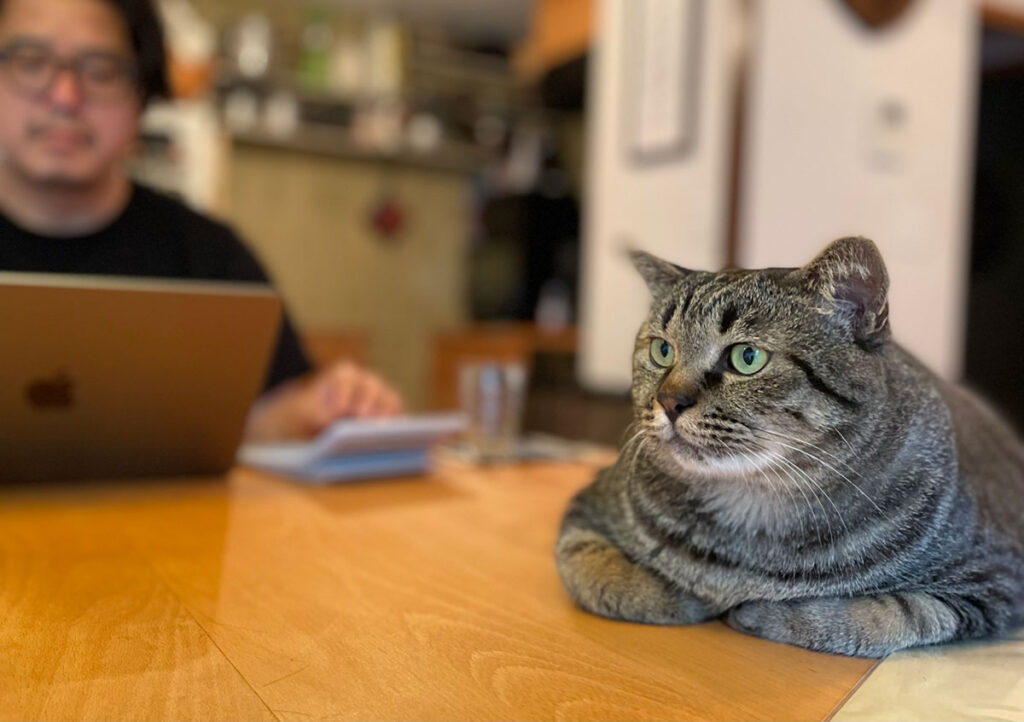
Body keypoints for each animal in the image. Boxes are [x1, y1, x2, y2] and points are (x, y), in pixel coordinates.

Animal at [557, 239, 1024, 655]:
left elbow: (889, 616)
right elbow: (595, 571)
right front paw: (680, 595)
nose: (668, 402)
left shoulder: (992, 579)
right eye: (662, 350)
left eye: (746, 358)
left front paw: (761, 612)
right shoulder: (584, 510)